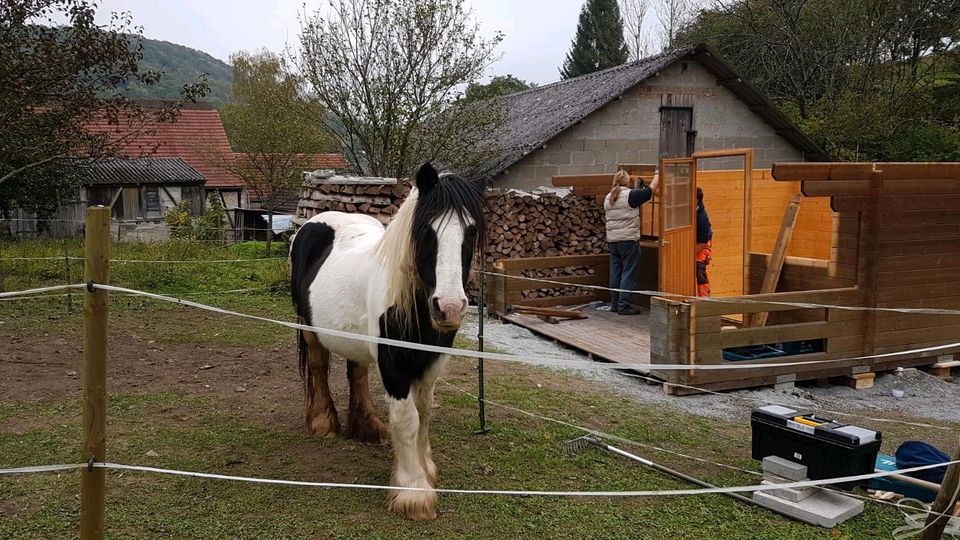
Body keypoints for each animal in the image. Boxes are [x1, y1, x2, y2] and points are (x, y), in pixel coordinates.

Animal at [290, 161, 488, 520]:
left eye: (471, 232)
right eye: (426, 231)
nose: (450, 307)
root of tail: (312, 223)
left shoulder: (431, 361)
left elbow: (424, 414)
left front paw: (426, 469)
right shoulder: (394, 363)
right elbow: (407, 419)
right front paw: (414, 491)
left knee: (357, 373)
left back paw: (367, 428)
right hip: (309, 327)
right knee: (319, 365)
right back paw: (324, 422)